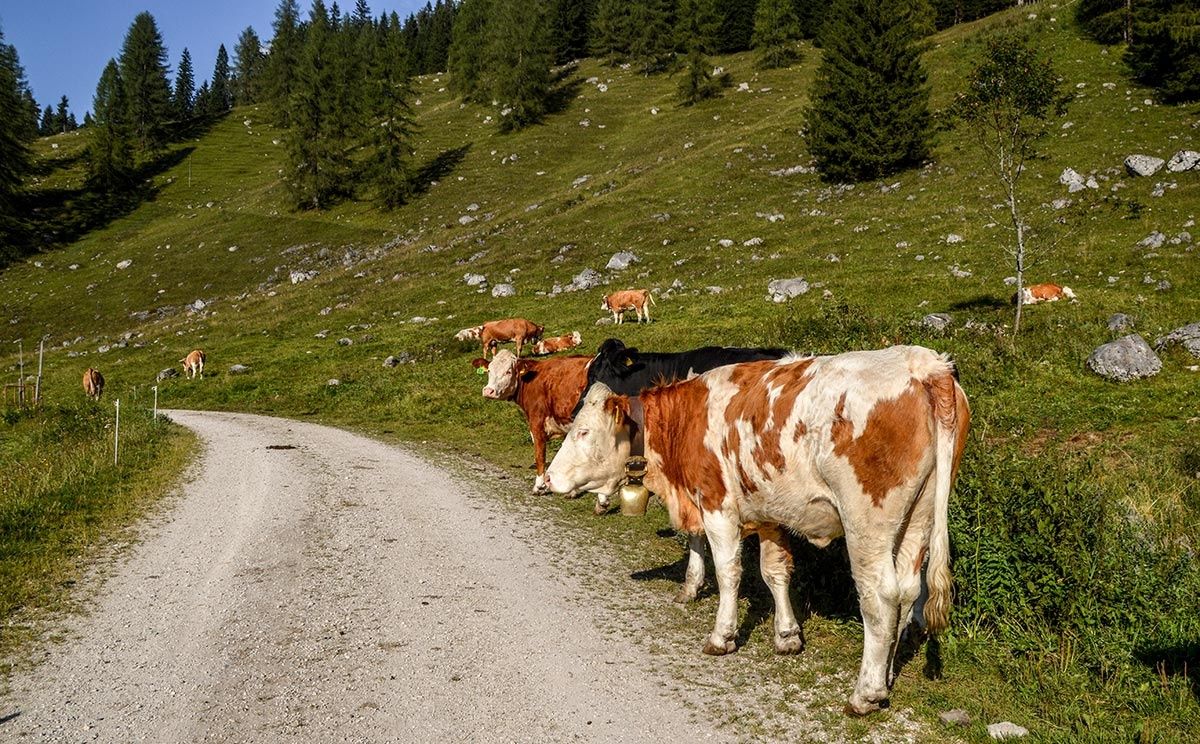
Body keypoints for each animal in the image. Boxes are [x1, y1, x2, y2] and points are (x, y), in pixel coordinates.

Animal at [481, 349, 591, 493]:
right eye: (489, 370)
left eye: (508, 371)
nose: (489, 391)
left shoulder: (536, 423)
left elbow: (540, 455)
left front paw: (539, 485)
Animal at [545, 345, 970, 715]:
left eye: (583, 432)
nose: (548, 477)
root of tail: (924, 363)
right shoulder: (769, 512)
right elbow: (775, 571)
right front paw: (787, 635)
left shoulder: (717, 505)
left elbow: (729, 572)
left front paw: (722, 636)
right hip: (919, 515)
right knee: (909, 591)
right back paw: (885, 675)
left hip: (868, 522)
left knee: (881, 598)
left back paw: (866, 693)